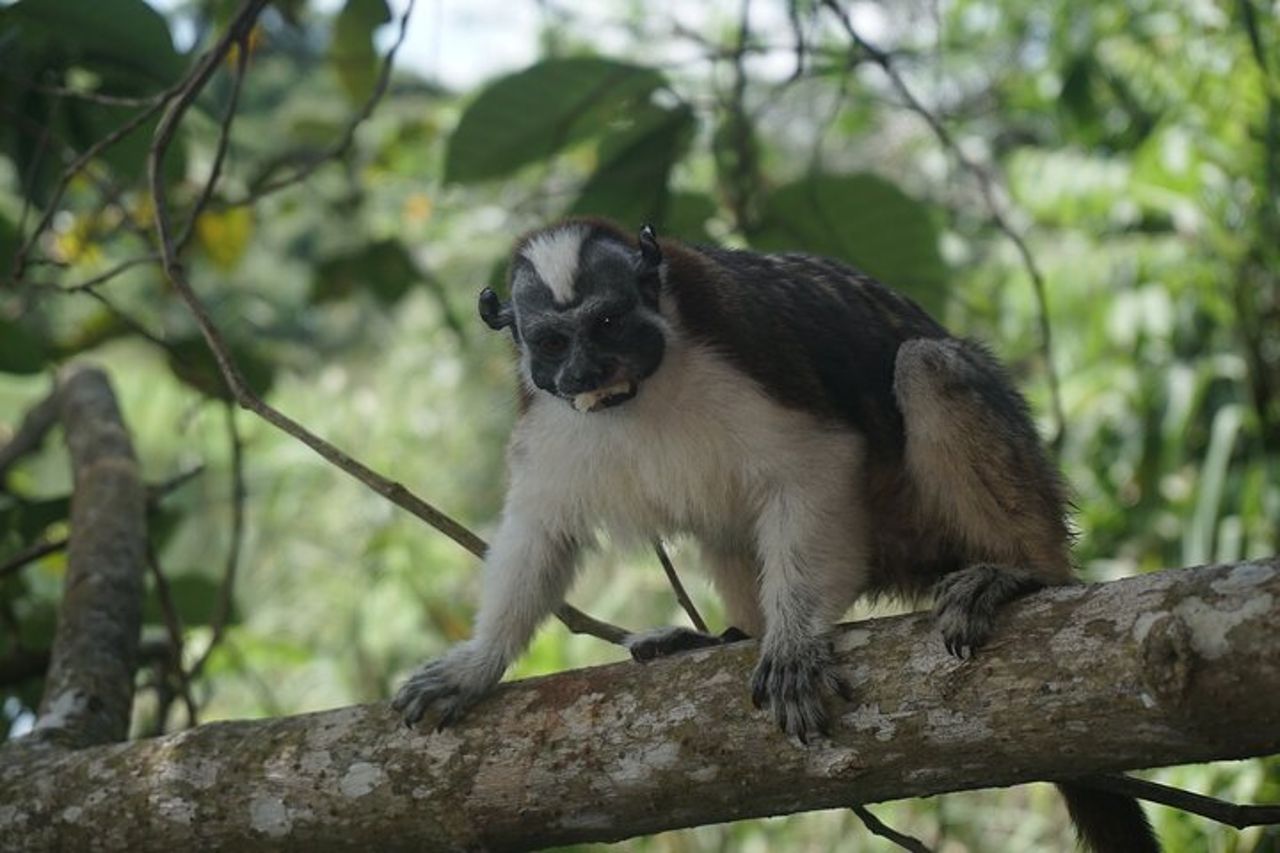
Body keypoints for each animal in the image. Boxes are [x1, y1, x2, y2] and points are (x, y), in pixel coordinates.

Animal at [392, 219, 1159, 853]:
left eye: (607, 323)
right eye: (553, 342)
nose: (584, 371)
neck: (643, 392)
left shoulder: (746, 354)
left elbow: (812, 464)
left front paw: (792, 641)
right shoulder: (547, 417)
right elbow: (542, 529)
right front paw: (476, 666)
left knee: (925, 366)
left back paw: (1020, 572)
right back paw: (727, 637)